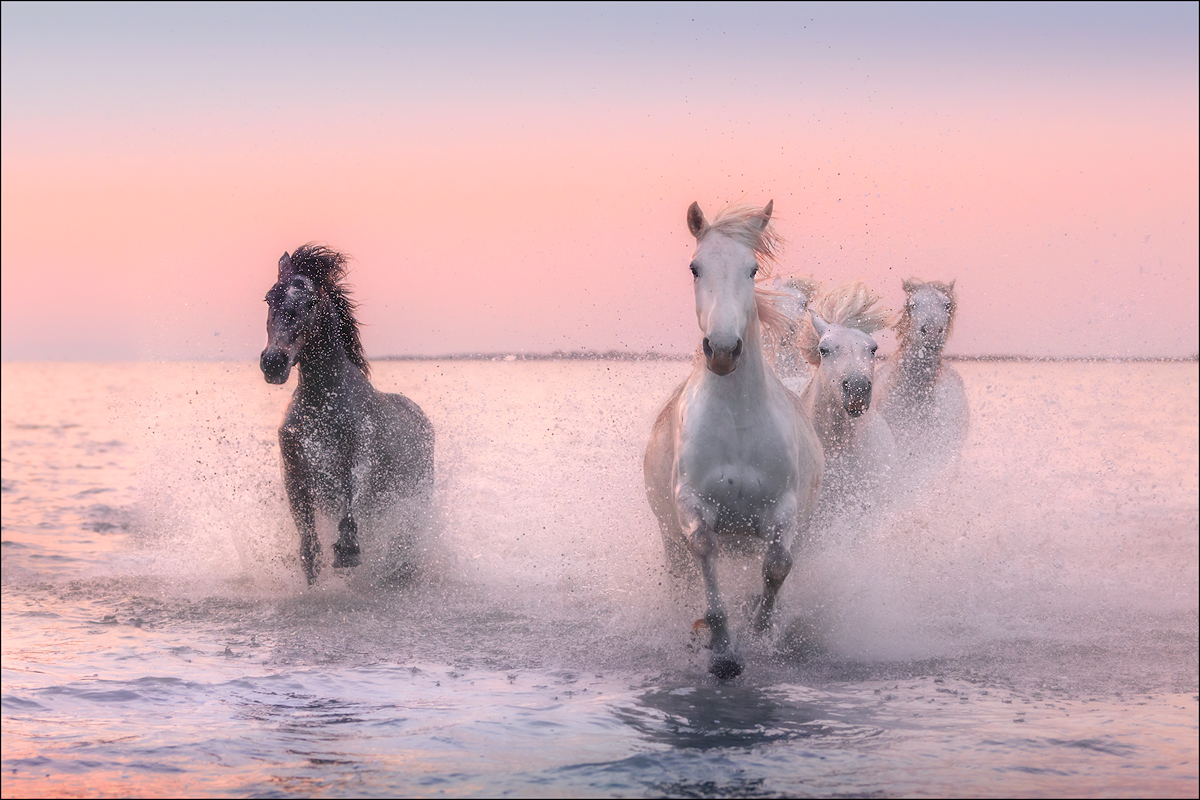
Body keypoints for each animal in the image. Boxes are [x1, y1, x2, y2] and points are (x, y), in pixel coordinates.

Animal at [260, 241, 439, 585]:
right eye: (269, 297)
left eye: (311, 301)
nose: (274, 362)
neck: (322, 405)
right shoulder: (294, 471)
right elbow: (309, 542)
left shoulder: (359, 458)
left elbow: (351, 498)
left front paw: (347, 551)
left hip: (416, 498)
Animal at [648, 201, 825, 681]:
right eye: (695, 267)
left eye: (753, 269)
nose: (723, 350)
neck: (738, 423)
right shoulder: (692, 503)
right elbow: (705, 550)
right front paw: (723, 652)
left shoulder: (782, 508)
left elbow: (777, 566)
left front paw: (761, 630)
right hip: (670, 543)